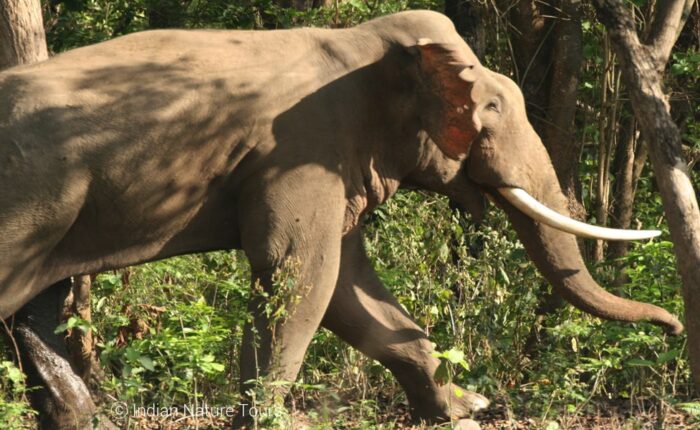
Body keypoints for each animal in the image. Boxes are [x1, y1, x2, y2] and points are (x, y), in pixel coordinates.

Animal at [0, 9, 680, 426]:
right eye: (489, 107)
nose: (673, 327)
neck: (356, 41)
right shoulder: (299, 149)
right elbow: (304, 276)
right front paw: (261, 420)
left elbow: (352, 288)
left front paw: (466, 406)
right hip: (30, 199)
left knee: (33, 309)